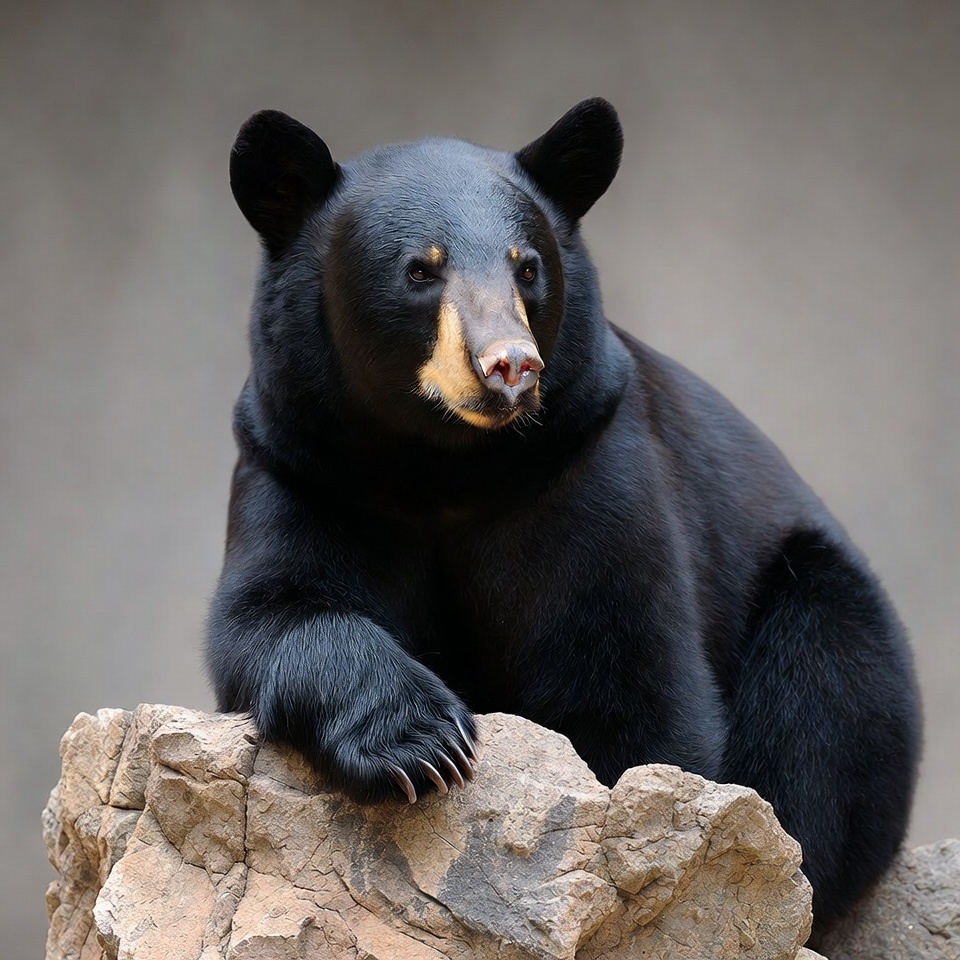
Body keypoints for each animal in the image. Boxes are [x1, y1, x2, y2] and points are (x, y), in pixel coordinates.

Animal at [207, 98, 921, 938]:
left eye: (526, 267)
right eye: (421, 269)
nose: (509, 364)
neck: (439, 465)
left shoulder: (588, 468)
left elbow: (626, 679)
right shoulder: (301, 464)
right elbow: (273, 614)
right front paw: (424, 743)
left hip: (834, 615)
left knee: (822, 700)